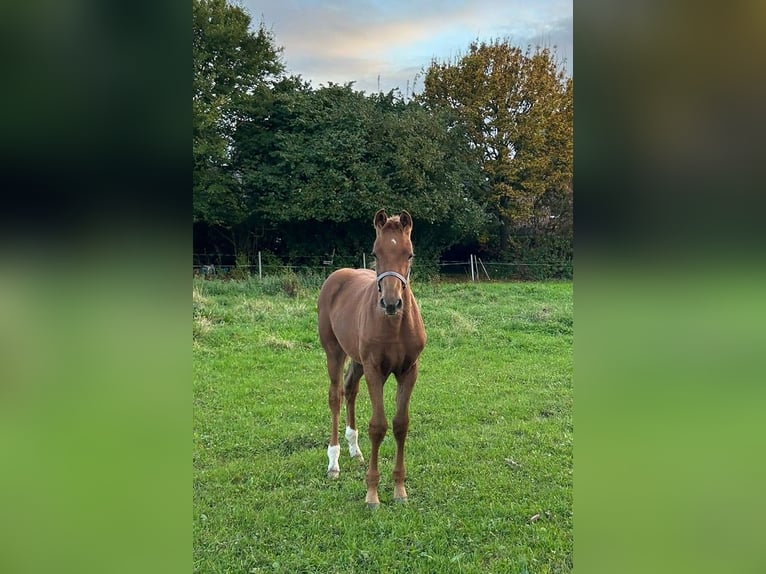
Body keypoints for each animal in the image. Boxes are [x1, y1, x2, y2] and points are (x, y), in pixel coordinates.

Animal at [316, 209, 426, 510]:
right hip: (334, 351)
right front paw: (372, 494)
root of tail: (338, 275)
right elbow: (378, 426)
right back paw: (334, 462)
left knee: (350, 389)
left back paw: (354, 450)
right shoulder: (376, 370)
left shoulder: (409, 370)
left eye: (410, 254)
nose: (391, 303)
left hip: (357, 360)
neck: (395, 325)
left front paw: (399, 490)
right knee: (336, 395)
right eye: (376, 253)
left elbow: (400, 424)